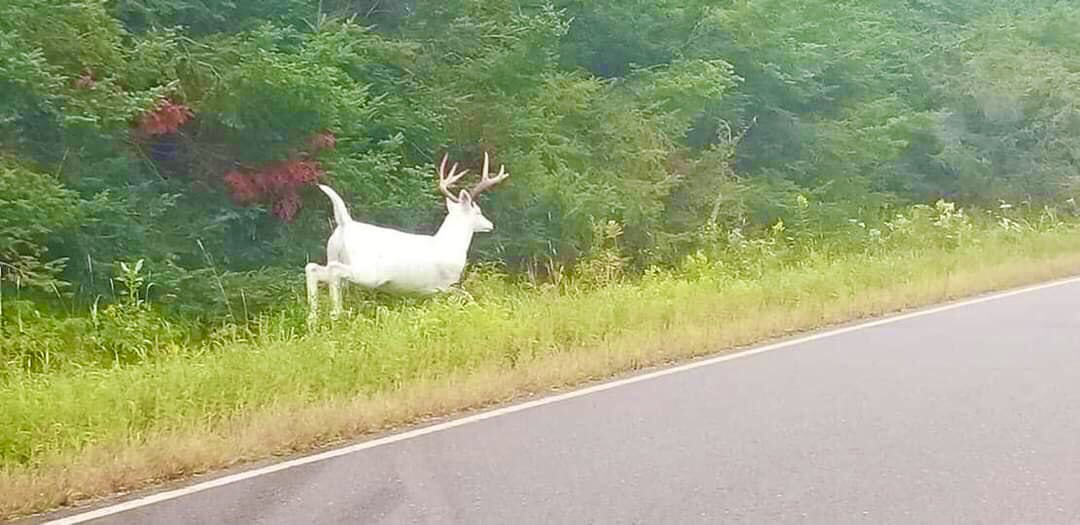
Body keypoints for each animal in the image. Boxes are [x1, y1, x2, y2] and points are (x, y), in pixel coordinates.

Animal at [305, 151, 510, 322]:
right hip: (368, 271)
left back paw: (313, 318)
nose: (490, 224)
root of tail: (345, 224)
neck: (451, 244)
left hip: (333, 254)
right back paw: (335, 312)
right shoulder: (443, 286)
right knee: (333, 271)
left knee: (314, 268)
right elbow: (468, 296)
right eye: (478, 211)